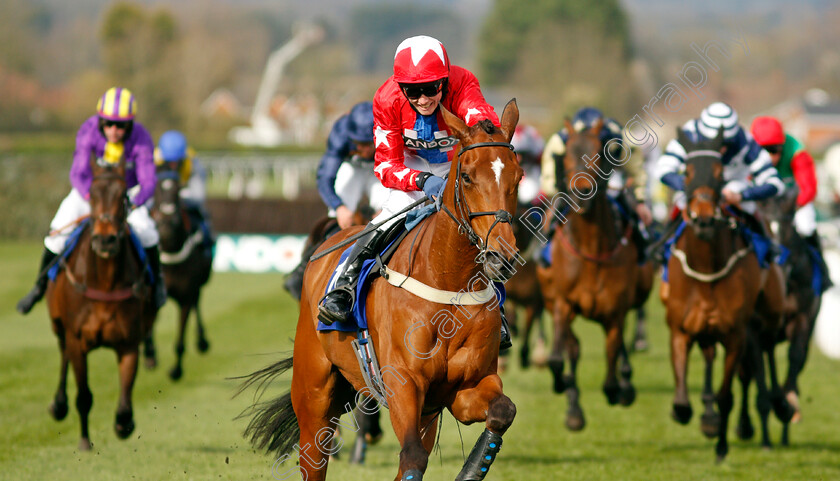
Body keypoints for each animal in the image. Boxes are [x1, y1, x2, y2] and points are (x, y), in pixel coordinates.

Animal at [44, 158, 158, 450]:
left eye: (123, 196)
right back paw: (58, 405)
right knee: (62, 355)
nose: (105, 239)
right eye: (93, 195)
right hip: (59, 327)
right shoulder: (76, 338)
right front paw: (85, 440)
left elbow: (126, 399)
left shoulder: (129, 342)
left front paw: (123, 425)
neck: (105, 282)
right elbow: (84, 395)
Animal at [150, 167, 213, 380]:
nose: (168, 223)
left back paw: (202, 341)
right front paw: (150, 355)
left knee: (197, 302)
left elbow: (180, 340)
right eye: (157, 190)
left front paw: (176, 370)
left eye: (178, 191)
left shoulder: (186, 294)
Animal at [240, 99, 520, 478]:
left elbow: (502, 412)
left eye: (518, 176)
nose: (501, 256)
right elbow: (412, 457)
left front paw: (470, 470)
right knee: (314, 457)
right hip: (314, 394)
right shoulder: (403, 384)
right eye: (466, 176)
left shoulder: (461, 388)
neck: (449, 284)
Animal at [536, 118, 648, 430]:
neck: (591, 248)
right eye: (567, 157)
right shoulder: (563, 304)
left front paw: (617, 389)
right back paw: (573, 408)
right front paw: (562, 386)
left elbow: (612, 354)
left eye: (599, 154)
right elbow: (558, 359)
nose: (582, 192)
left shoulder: (616, 309)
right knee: (572, 349)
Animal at [664, 127, 788, 462]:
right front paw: (697, 416)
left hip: (767, 320)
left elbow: (726, 396)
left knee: (764, 357)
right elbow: (682, 404)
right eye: (687, 171)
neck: (707, 269)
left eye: (720, 173)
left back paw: (778, 406)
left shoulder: (735, 334)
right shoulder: (681, 329)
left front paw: (721, 446)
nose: (704, 219)